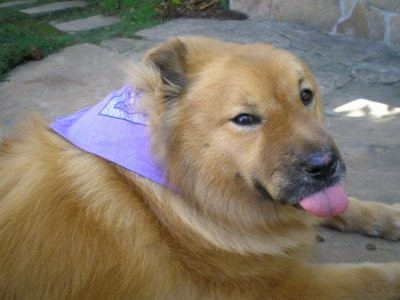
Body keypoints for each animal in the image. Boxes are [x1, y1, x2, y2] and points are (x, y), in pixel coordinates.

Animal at [0, 36, 400, 298]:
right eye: (245, 119)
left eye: (306, 96)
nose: (326, 166)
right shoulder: (275, 286)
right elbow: (370, 277)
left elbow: (348, 206)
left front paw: (391, 216)